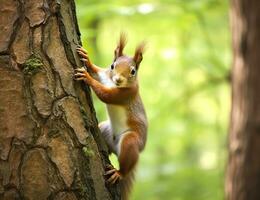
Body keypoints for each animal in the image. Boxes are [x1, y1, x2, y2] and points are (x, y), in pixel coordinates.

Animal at [74, 33, 148, 199]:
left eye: (133, 71)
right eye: (113, 66)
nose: (118, 79)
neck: (113, 83)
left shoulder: (125, 94)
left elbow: (105, 95)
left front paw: (87, 77)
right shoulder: (105, 75)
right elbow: (97, 72)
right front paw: (86, 59)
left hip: (130, 141)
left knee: (126, 162)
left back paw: (119, 173)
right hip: (104, 129)